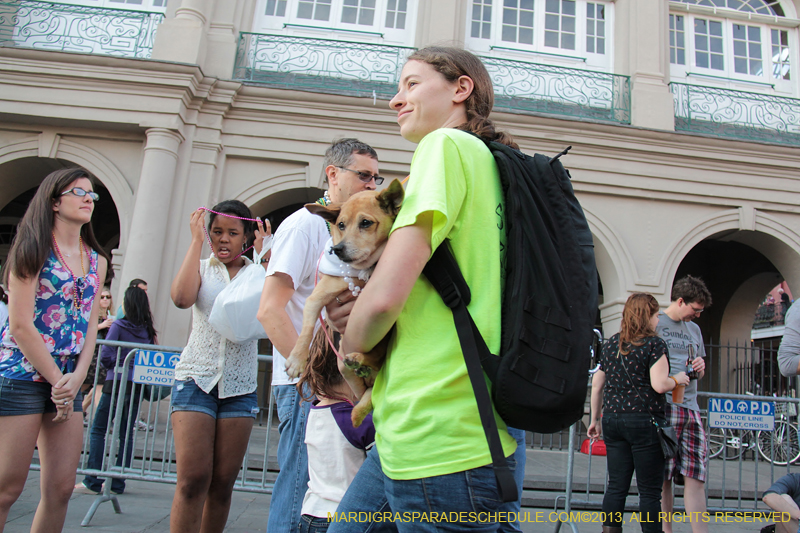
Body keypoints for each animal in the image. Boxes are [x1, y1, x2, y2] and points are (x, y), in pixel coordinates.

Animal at [284, 181, 404, 426]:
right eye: (340, 224)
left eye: (365, 223)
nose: (337, 250)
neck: (362, 272)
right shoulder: (317, 298)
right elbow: (306, 330)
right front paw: (297, 360)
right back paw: (359, 365)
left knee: (377, 360)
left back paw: (360, 360)